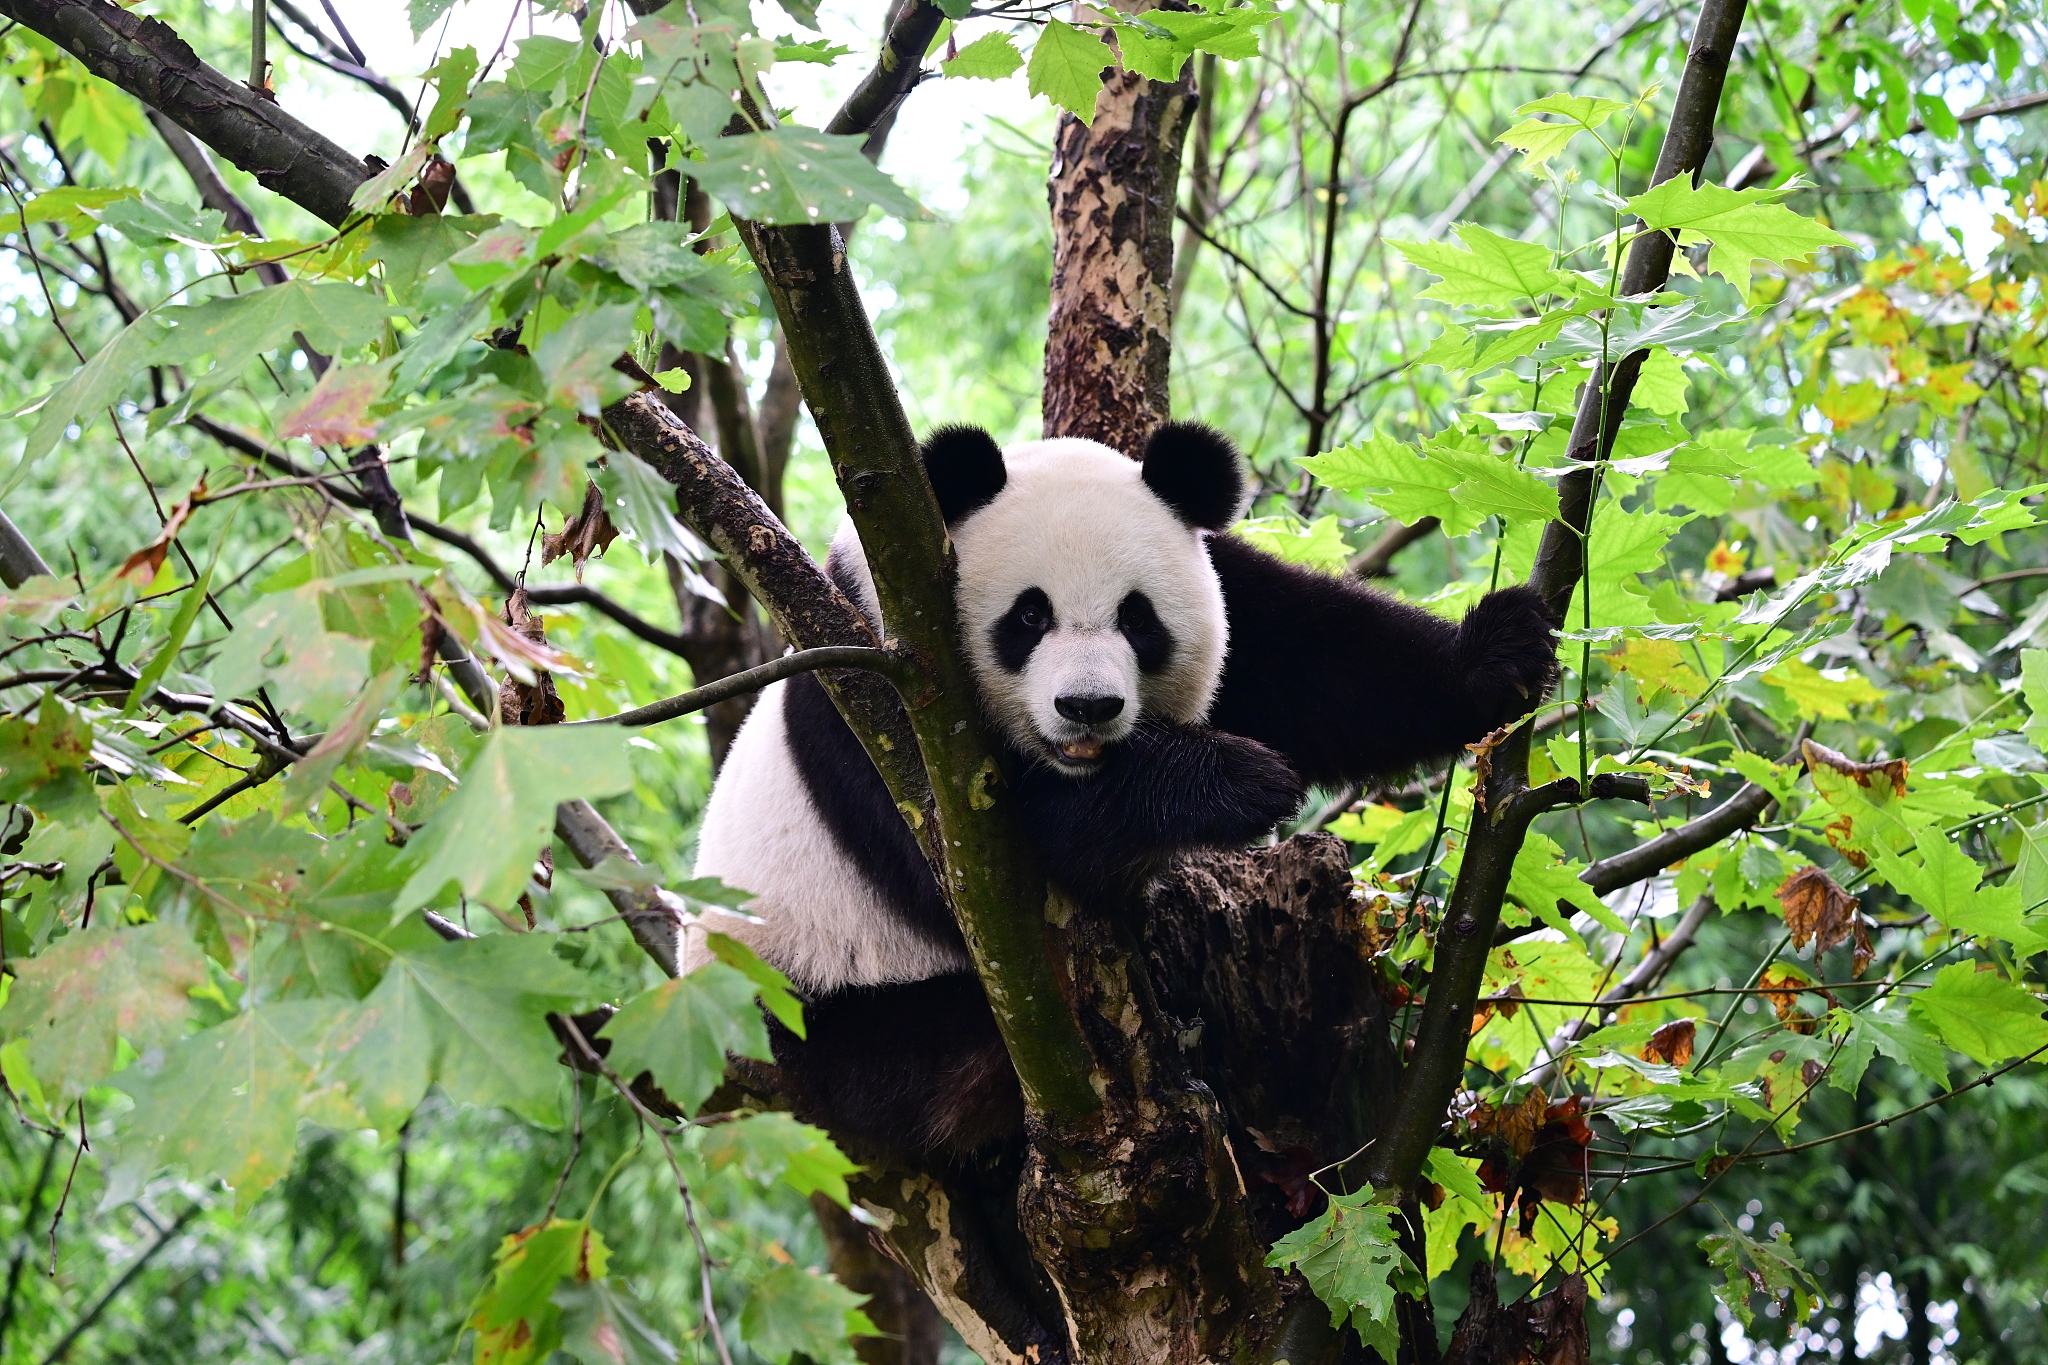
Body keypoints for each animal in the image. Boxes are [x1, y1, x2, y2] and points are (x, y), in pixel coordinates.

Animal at [684, 421, 1548, 1162]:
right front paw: (1236, 780)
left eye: (1138, 619)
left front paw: (1501, 652)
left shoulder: (1232, 590)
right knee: (937, 1051)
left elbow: (1318, 658)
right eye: (1028, 615)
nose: (1088, 707)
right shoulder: (881, 699)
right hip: (827, 1003)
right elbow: (995, 852)